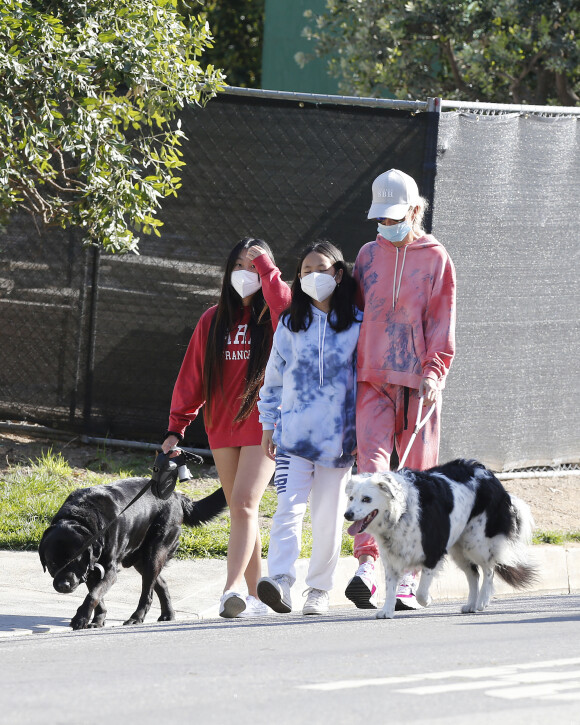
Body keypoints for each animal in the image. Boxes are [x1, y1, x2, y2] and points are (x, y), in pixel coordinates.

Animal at [39, 476, 225, 628]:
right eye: (53, 563)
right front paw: (98, 620)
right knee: (161, 583)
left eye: (75, 562)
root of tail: (177, 496)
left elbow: (93, 595)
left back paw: (136, 618)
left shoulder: (109, 571)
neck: (81, 517)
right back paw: (168, 614)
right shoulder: (91, 571)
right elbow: (98, 596)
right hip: (141, 560)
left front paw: (81, 619)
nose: (64, 585)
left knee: (147, 594)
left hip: (155, 552)